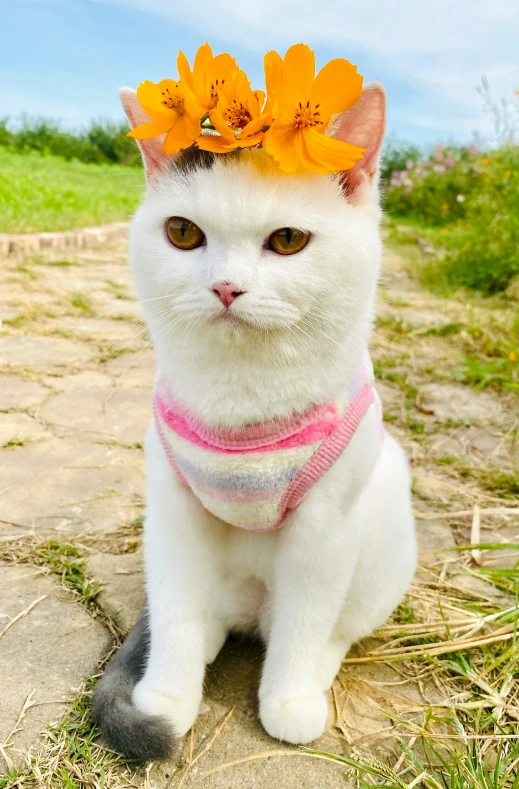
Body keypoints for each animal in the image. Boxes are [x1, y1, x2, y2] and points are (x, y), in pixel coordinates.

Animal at [93, 81, 418, 756]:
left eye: (289, 240)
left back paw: (311, 679)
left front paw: (287, 699)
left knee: (327, 628)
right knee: (192, 614)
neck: (241, 395)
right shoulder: (173, 511)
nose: (226, 287)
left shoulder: (324, 530)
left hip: (382, 526)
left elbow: (305, 622)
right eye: (183, 233)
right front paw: (166, 697)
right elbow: (177, 611)